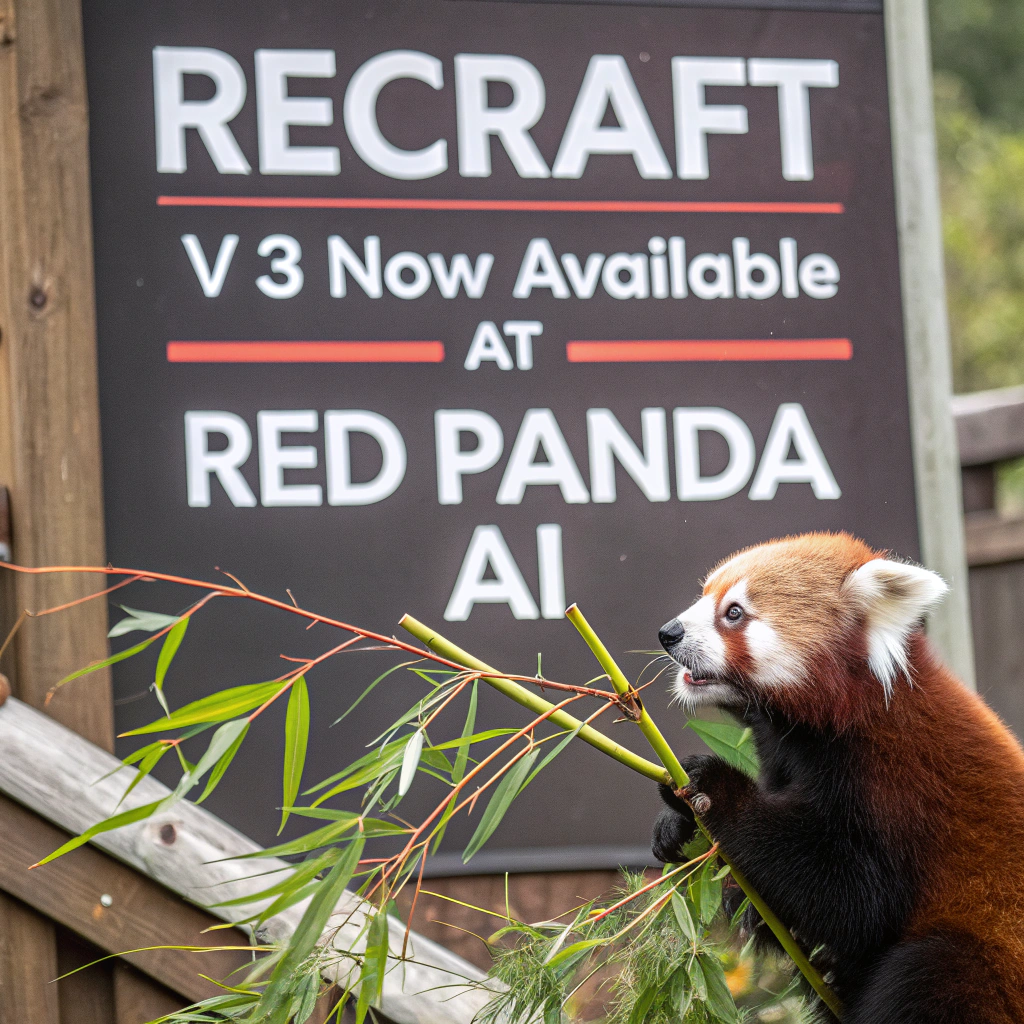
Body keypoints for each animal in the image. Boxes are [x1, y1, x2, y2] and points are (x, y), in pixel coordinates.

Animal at [652, 532, 1024, 1023]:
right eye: (705, 594)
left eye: (734, 612)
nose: (668, 633)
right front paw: (678, 826)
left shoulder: (898, 779)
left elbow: (857, 900)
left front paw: (714, 789)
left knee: (927, 975)